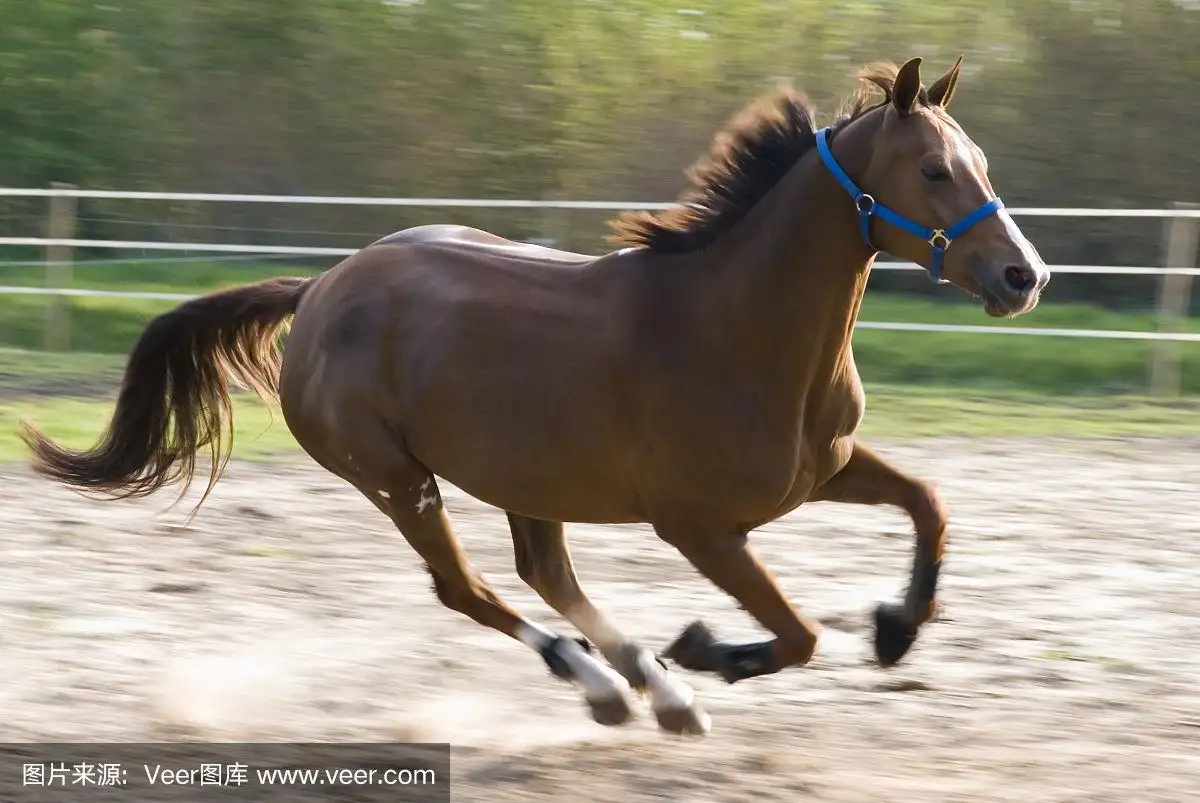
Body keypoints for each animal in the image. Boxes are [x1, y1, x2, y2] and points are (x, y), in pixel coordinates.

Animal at [21, 54, 1051, 734]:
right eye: (933, 169)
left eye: (982, 163)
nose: (1023, 277)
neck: (735, 328)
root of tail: (319, 290)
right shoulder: (699, 525)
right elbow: (794, 634)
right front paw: (703, 648)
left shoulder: (822, 471)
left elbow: (929, 503)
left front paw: (894, 630)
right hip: (397, 479)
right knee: (467, 587)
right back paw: (611, 684)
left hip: (525, 478)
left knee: (541, 573)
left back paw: (644, 683)